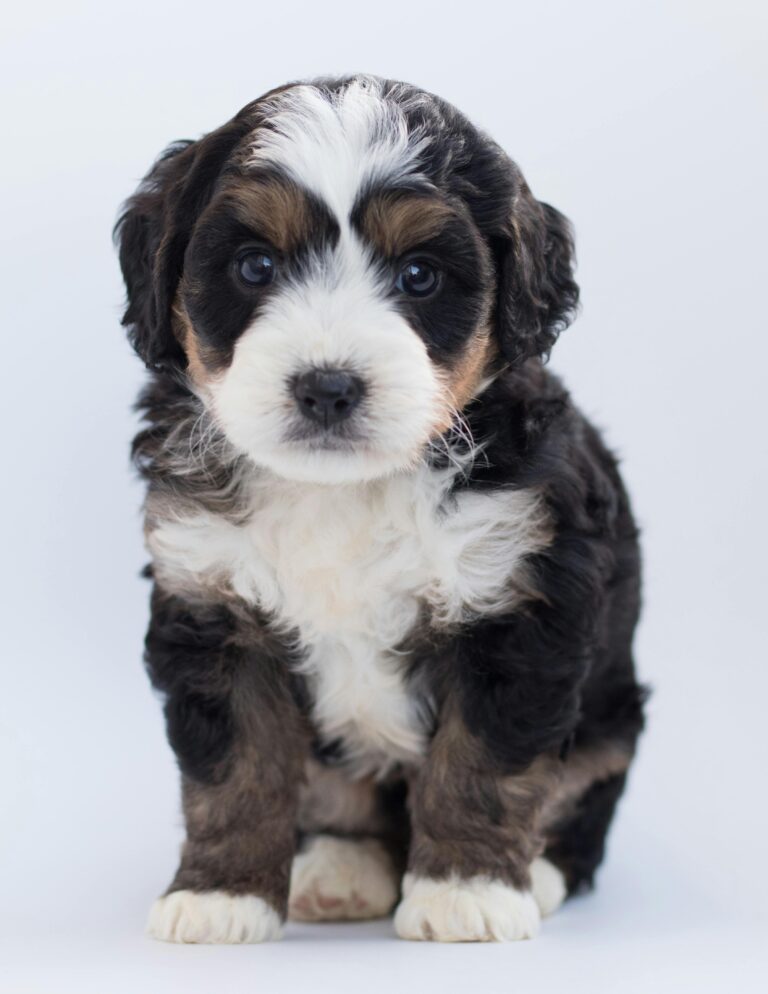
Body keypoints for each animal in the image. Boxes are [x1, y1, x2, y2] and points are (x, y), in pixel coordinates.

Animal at [117, 73, 644, 940]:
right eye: (255, 265)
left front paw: (467, 888)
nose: (328, 386)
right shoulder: (212, 602)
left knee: (581, 801)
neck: (346, 489)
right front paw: (222, 895)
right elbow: (235, 768)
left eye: (419, 276)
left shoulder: (519, 602)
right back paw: (340, 865)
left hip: (612, 719)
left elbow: (485, 760)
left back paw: (535, 874)